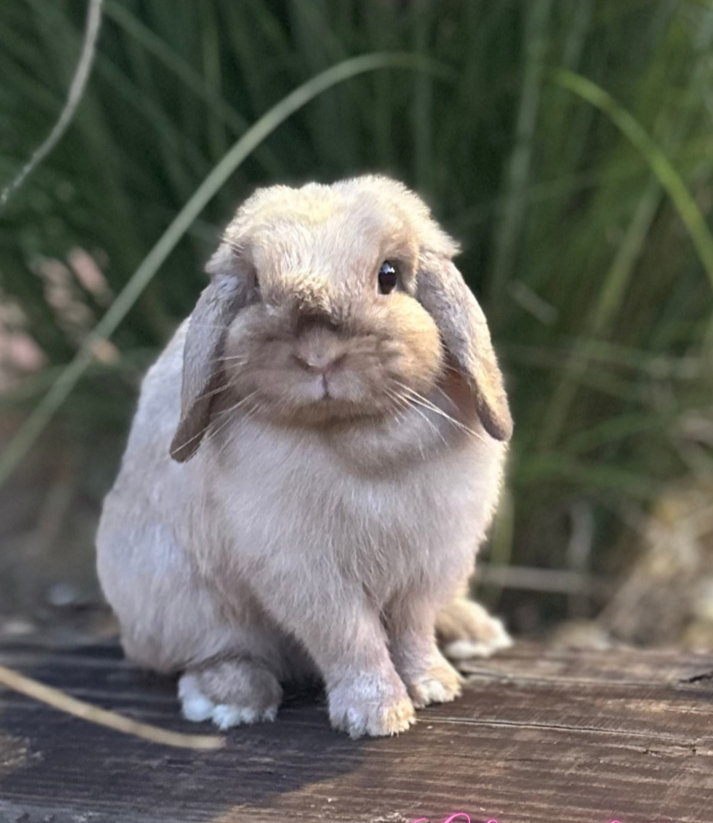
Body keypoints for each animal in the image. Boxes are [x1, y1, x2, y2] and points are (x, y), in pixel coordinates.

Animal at [96, 175, 512, 738]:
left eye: (389, 275)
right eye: (256, 285)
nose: (318, 357)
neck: (354, 433)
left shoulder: (430, 563)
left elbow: (413, 631)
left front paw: (435, 686)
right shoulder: (305, 573)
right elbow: (350, 638)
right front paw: (379, 716)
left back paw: (473, 629)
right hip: (181, 603)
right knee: (213, 652)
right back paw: (232, 699)